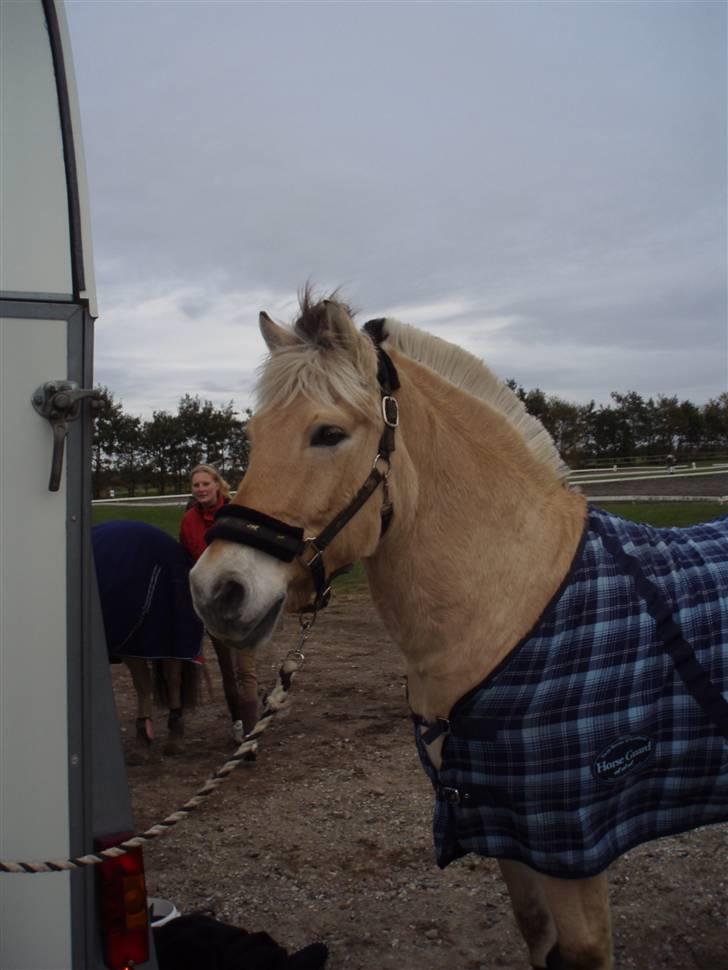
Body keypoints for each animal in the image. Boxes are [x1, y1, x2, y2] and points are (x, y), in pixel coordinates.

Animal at [189, 294, 728, 968]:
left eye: (328, 433)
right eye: (253, 437)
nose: (216, 591)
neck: (513, 606)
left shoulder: (574, 845)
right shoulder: (506, 829)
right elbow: (536, 933)